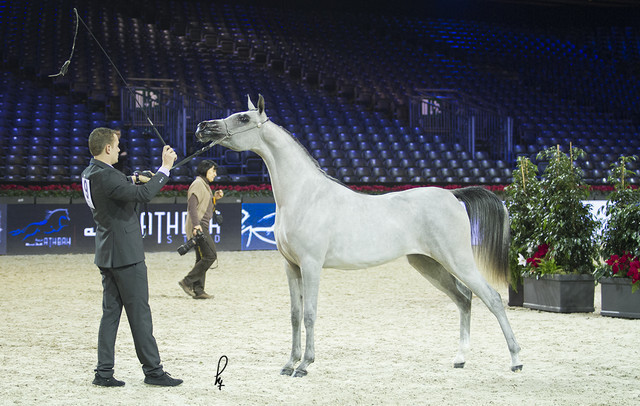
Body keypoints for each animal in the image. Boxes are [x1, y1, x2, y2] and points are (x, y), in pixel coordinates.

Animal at [195, 95, 522, 377]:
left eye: (243, 117)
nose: (203, 127)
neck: (304, 195)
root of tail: (454, 195)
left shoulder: (311, 266)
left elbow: (310, 313)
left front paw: (305, 365)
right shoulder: (291, 267)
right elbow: (295, 315)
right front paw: (289, 363)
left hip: (457, 260)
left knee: (491, 298)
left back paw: (516, 360)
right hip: (428, 264)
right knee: (464, 299)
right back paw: (460, 358)